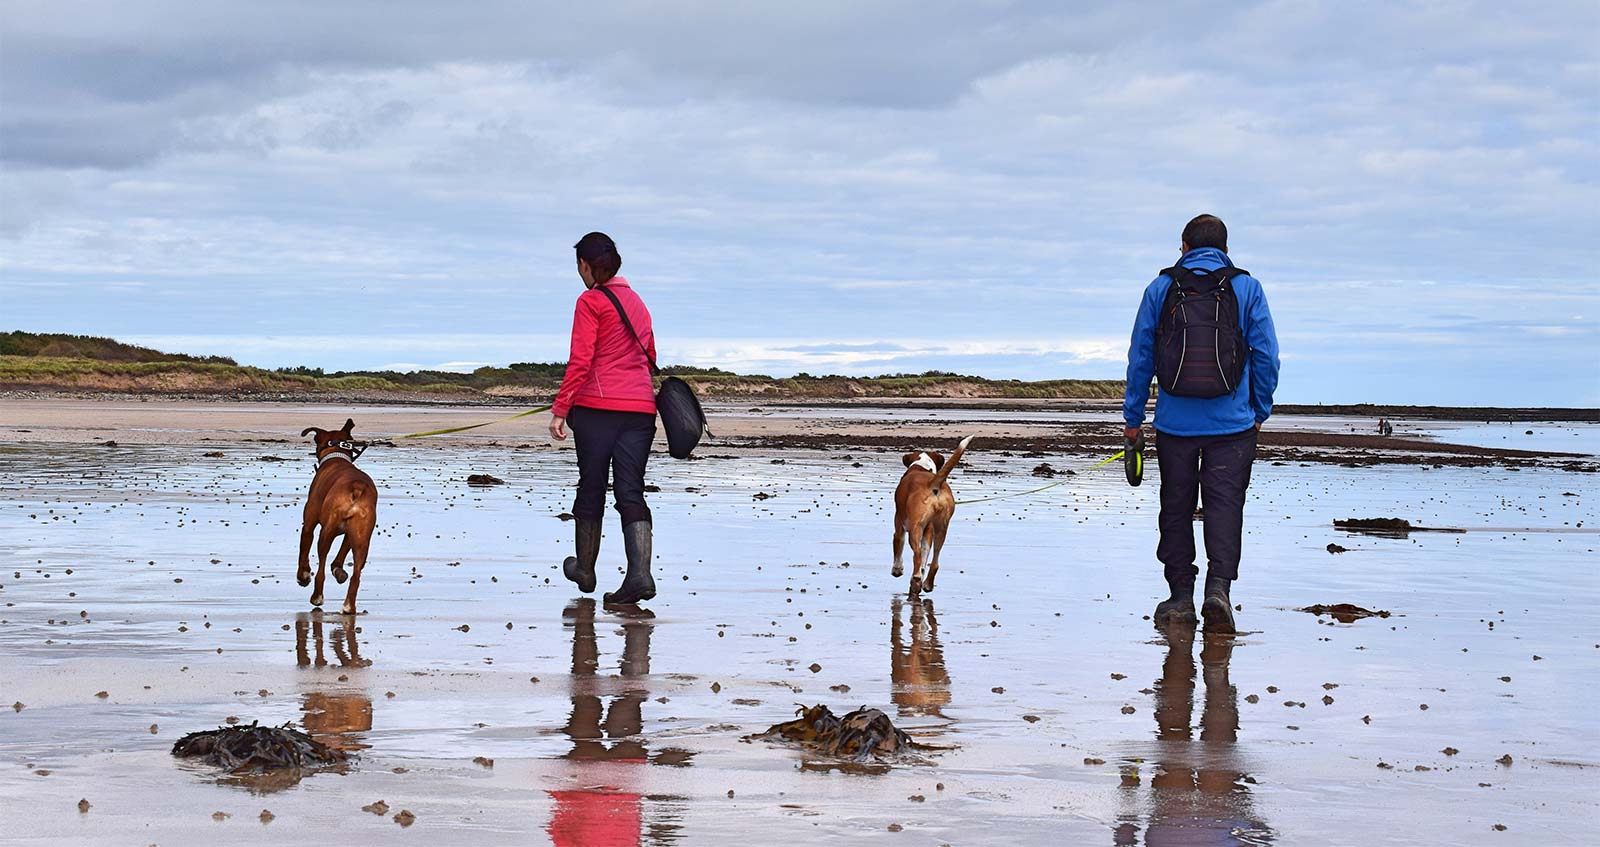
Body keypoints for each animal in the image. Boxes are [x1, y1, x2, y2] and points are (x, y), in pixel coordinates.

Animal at [297, 419, 377, 614]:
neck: (336, 456)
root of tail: (357, 487)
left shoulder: (308, 525)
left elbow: (303, 551)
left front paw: (303, 576)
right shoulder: (351, 533)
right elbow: (341, 554)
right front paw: (339, 570)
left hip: (326, 532)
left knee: (321, 568)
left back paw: (317, 597)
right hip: (363, 538)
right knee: (356, 575)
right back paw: (349, 606)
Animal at [889, 435, 972, 595]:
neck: (921, 466)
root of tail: (933, 483)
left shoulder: (899, 526)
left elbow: (898, 546)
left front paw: (897, 570)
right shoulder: (929, 531)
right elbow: (924, 558)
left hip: (915, 528)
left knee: (917, 554)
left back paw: (916, 580)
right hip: (941, 529)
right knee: (934, 562)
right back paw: (926, 584)